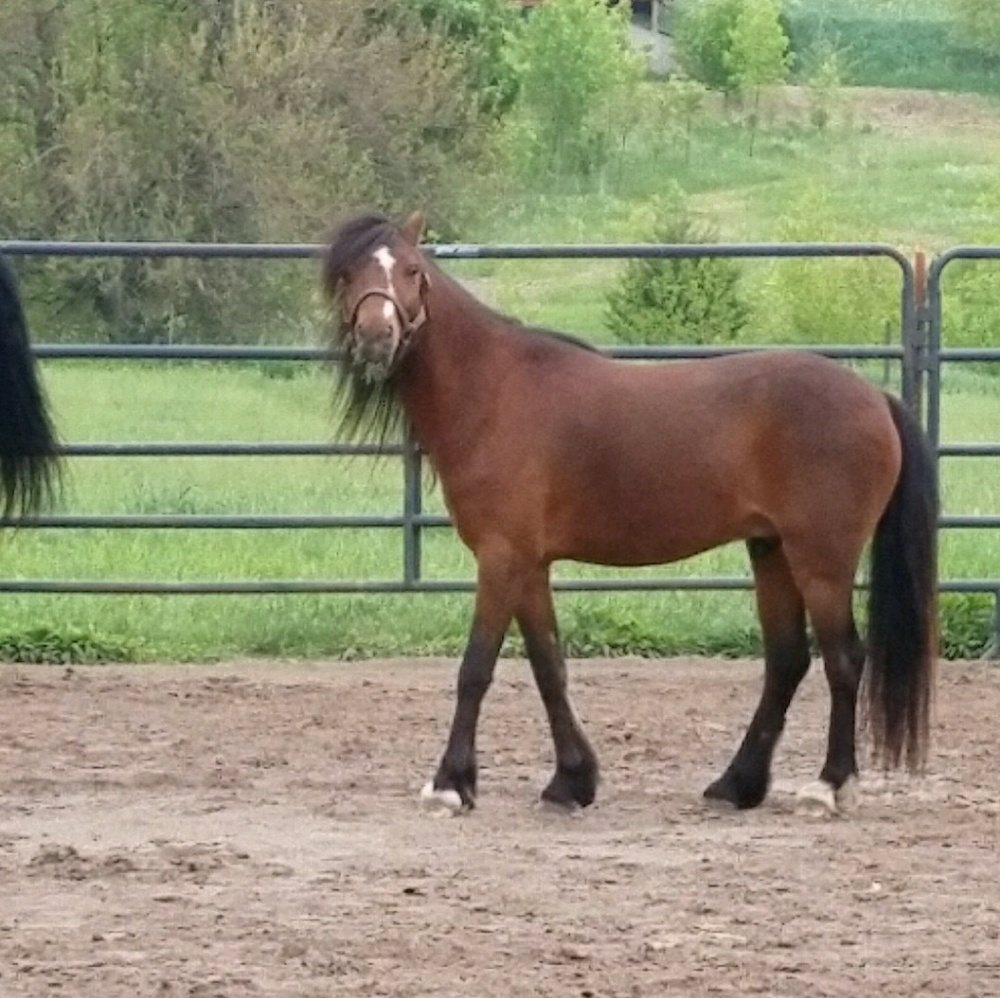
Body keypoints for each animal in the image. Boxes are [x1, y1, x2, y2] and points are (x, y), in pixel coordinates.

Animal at [322, 210, 938, 817]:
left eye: (411, 270)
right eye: (349, 274)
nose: (376, 335)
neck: (493, 392)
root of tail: (874, 397)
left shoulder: (501, 558)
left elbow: (475, 668)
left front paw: (451, 784)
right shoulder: (528, 565)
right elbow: (549, 667)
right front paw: (571, 781)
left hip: (822, 560)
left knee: (843, 659)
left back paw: (829, 785)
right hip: (771, 550)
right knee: (786, 661)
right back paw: (735, 785)